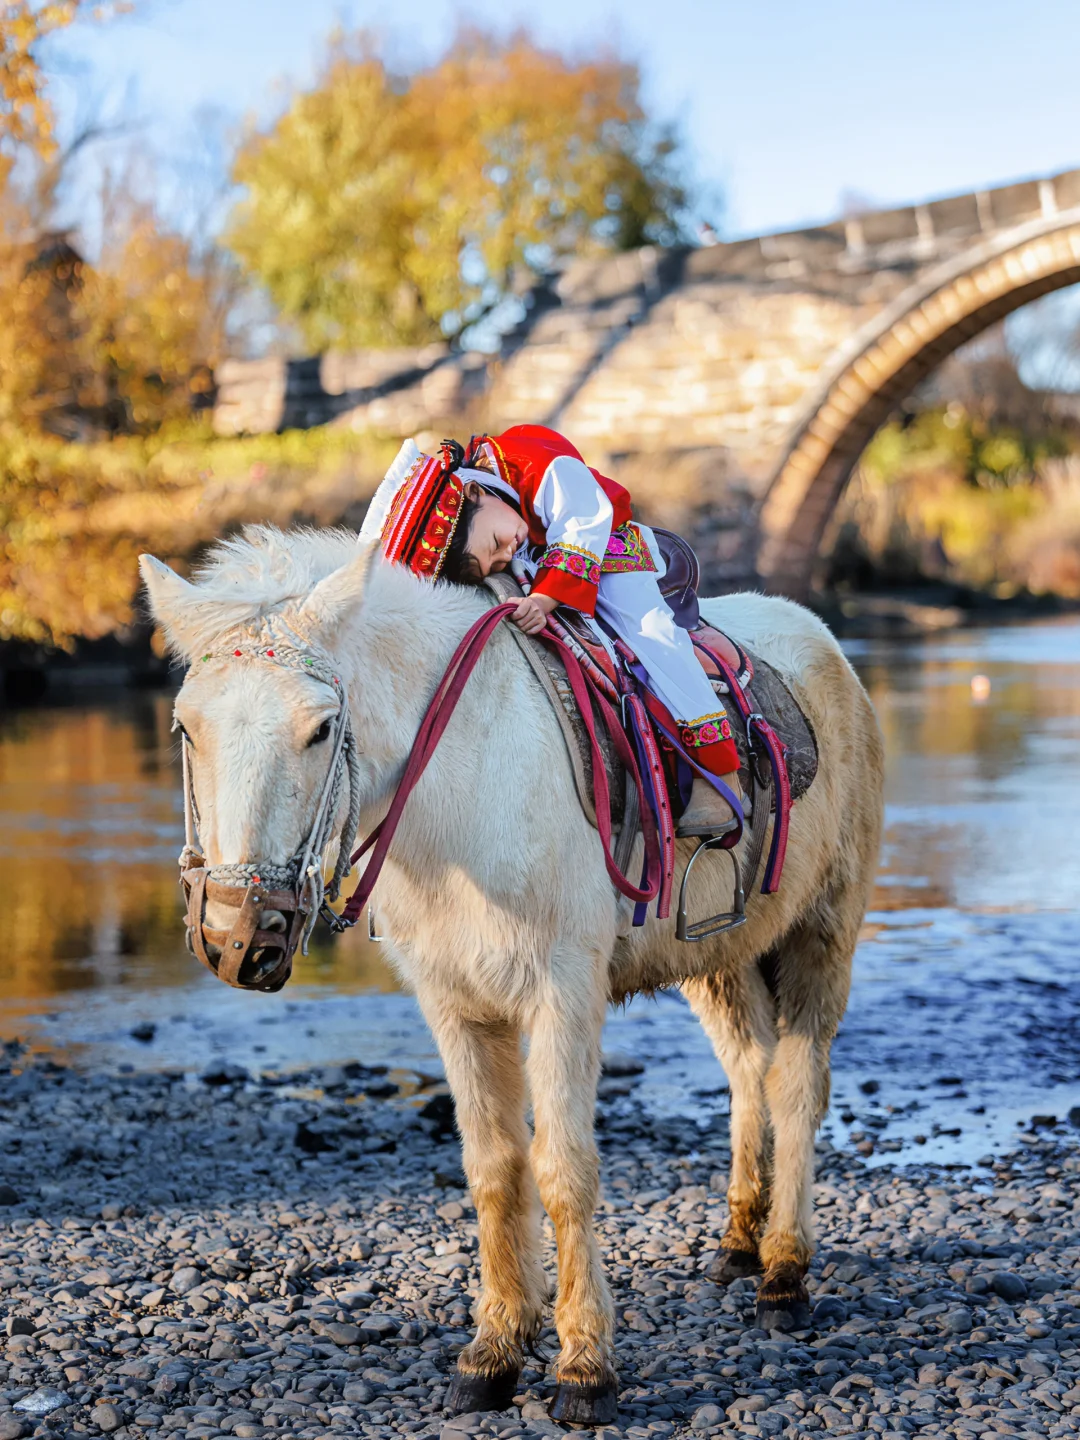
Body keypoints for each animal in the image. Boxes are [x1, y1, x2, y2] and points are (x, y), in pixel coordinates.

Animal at [141, 532, 887, 1428]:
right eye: (186, 727)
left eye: (321, 729)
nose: (238, 938)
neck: (461, 787)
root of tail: (820, 638)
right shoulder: (456, 1004)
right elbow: (495, 1170)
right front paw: (493, 1353)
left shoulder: (561, 993)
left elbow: (563, 1169)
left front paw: (584, 1367)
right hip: (724, 958)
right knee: (750, 1071)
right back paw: (740, 1243)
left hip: (823, 932)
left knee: (797, 1087)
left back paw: (783, 1273)